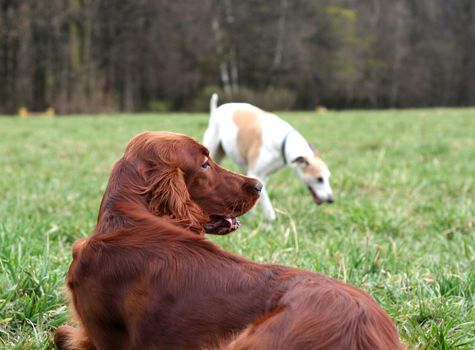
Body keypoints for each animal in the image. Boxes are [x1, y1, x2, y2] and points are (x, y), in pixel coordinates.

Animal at [205, 94, 334, 220]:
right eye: (319, 179)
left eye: (328, 177)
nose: (331, 199)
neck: (282, 142)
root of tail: (216, 110)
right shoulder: (256, 174)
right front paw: (270, 219)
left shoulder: (261, 177)